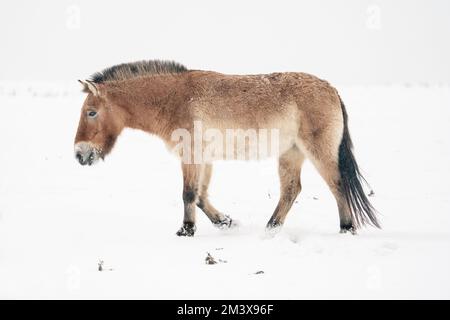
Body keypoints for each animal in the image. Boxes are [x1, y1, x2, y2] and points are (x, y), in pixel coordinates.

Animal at [74, 60, 380, 236]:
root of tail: (332, 89)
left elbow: (188, 194)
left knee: (337, 184)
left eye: (91, 112)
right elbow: (199, 196)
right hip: (290, 154)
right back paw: (271, 229)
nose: (79, 154)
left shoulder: (192, 156)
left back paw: (346, 229)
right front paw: (224, 222)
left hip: (319, 152)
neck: (174, 99)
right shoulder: (204, 159)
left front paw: (186, 231)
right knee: (291, 190)